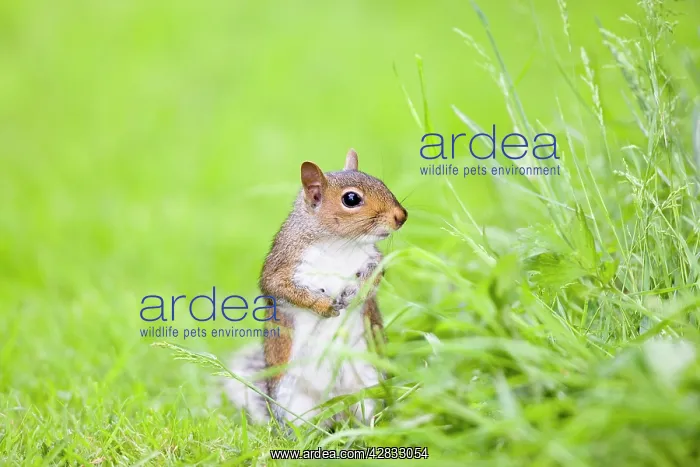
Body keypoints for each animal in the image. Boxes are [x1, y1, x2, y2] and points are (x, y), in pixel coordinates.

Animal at [223, 148, 407, 428]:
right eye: (351, 199)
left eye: (381, 182)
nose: (401, 216)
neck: (338, 243)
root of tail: (336, 410)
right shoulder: (283, 264)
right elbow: (281, 288)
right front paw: (324, 305)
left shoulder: (372, 258)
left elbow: (374, 278)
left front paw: (357, 292)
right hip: (292, 400)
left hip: (368, 383)